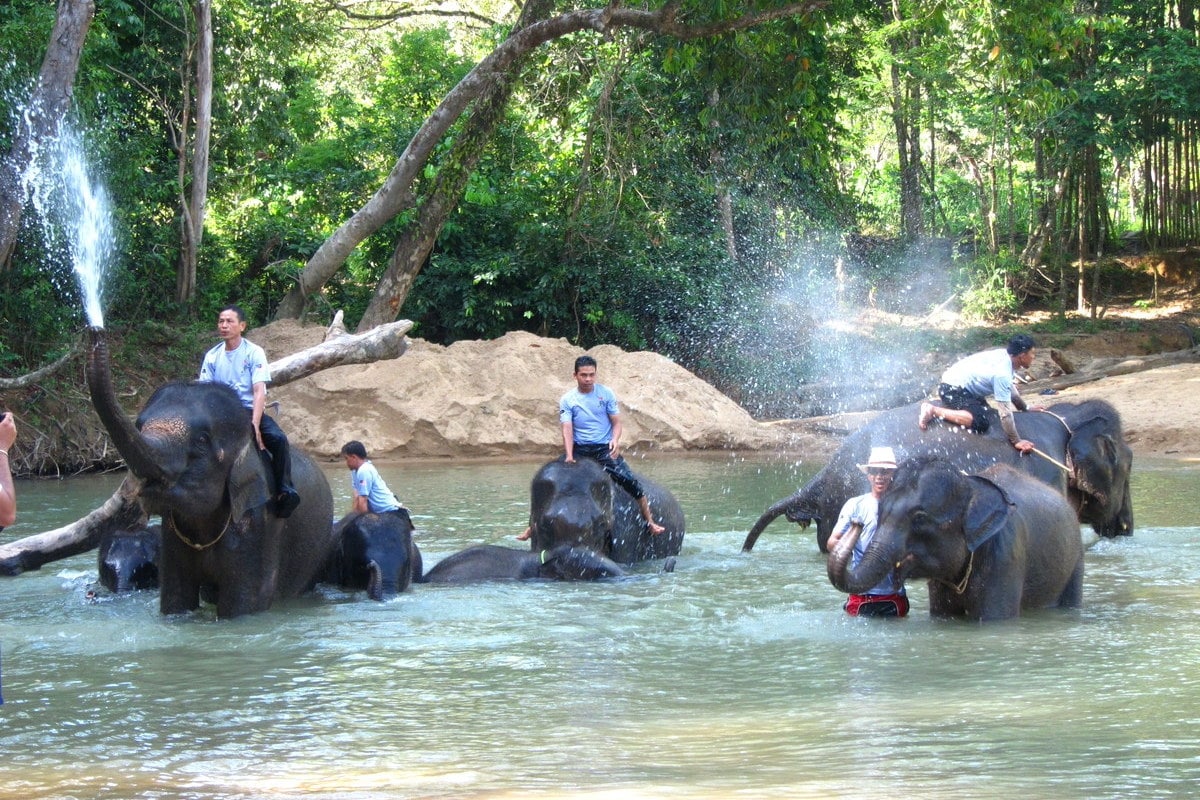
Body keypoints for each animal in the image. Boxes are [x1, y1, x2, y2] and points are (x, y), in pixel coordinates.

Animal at [87, 326, 336, 618]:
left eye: (202, 440)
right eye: (139, 425)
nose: (95, 330)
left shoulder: (260, 522)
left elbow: (242, 606)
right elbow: (176, 599)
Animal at [830, 460, 1084, 623]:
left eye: (920, 518)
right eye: (880, 511)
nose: (855, 522)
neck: (970, 485)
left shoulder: (1005, 557)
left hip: (1076, 558)